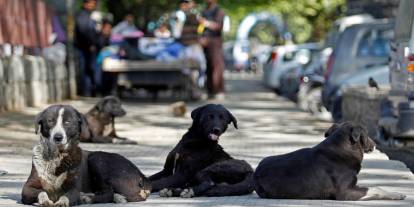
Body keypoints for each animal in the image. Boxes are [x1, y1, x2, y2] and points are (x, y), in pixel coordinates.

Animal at [254, 121, 406, 201]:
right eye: (367, 135)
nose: (375, 144)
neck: (341, 150)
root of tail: (255, 174)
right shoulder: (345, 192)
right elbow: (375, 188)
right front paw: (396, 194)